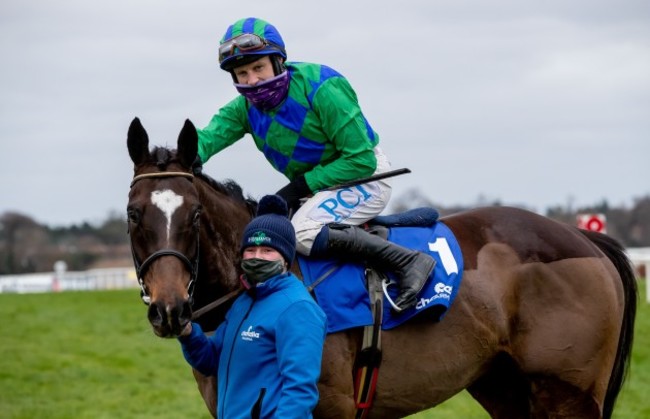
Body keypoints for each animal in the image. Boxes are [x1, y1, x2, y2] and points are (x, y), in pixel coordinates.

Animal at [125, 118, 632, 419]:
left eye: (194, 215)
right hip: (504, 385)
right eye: (133, 214)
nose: (170, 309)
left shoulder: (332, 408)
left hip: (567, 394)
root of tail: (585, 238)